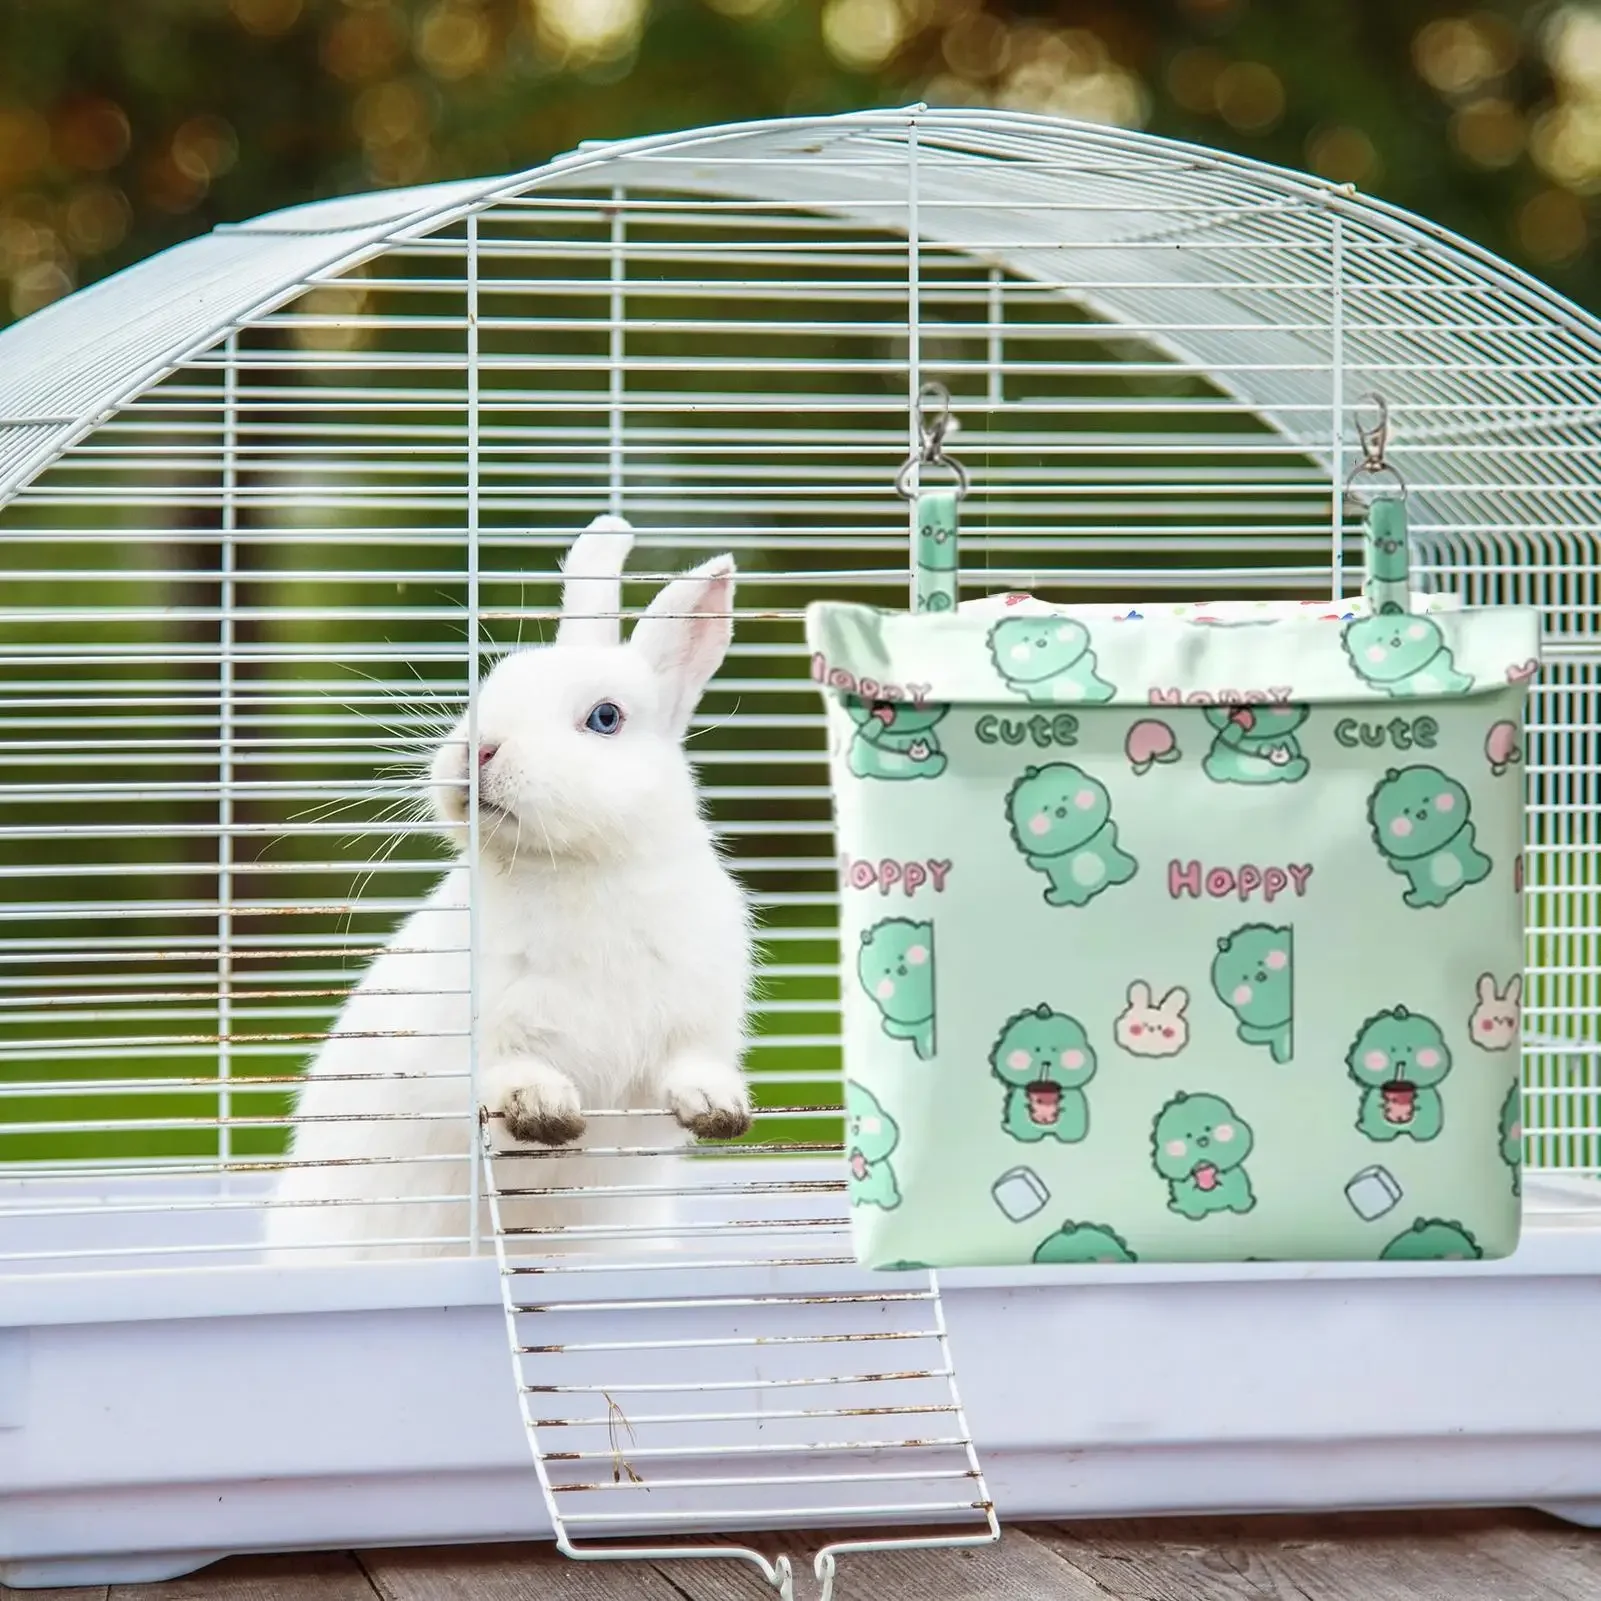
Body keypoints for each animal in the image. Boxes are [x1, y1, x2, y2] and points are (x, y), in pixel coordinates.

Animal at [260, 515, 753, 1263]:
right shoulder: (468, 1037)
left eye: (605, 718)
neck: (574, 866)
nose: (478, 750)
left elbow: (690, 1068)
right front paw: (544, 1111)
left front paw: (720, 1111)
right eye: (489, 685)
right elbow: (502, 1076)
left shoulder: (696, 1017)